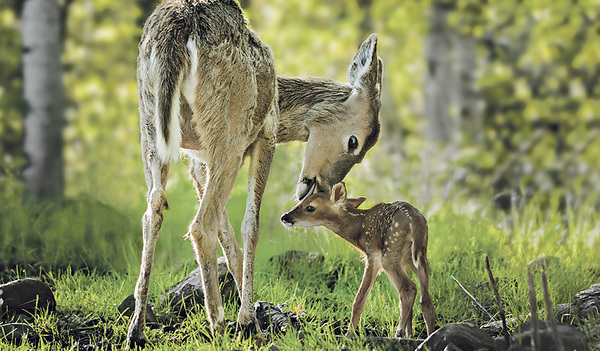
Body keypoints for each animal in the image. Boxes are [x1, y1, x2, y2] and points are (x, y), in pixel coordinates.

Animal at [127, 0, 380, 346]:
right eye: (355, 142)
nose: (321, 186)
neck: (281, 103)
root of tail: (178, 28)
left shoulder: (196, 159)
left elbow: (228, 232)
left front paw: (254, 316)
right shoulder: (265, 135)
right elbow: (250, 225)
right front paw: (249, 322)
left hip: (150, 126)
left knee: (153, 210)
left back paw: (137, 329)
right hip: (228, 129)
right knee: (200, 224)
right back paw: (219, 326)